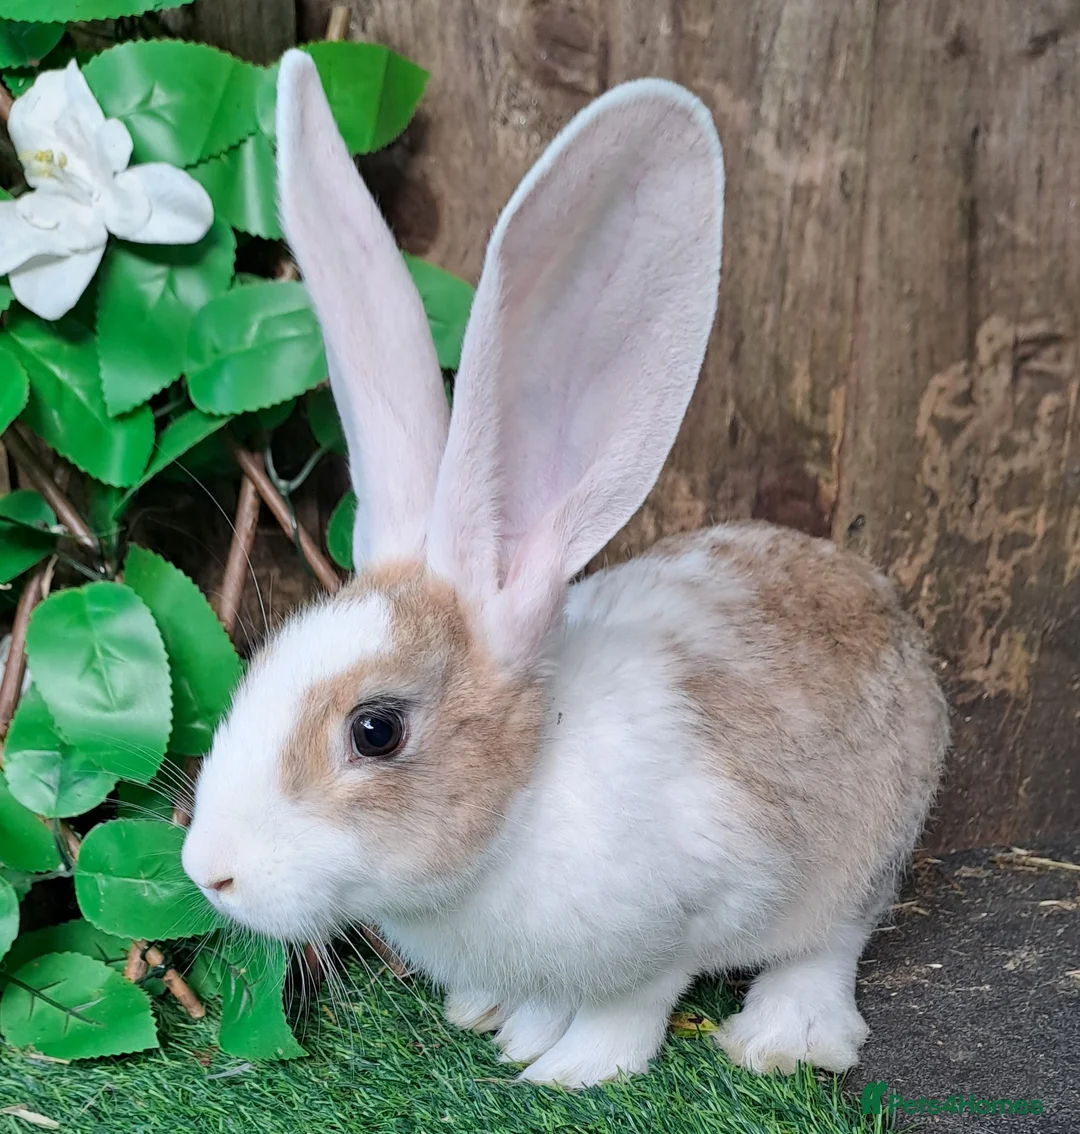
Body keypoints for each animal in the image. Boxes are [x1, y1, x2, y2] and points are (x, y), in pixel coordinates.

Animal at [181, 49, 948, 1088]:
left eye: (376, 731)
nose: (207, 871)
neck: (526, 790)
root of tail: (880, 597)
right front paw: (509, 1026)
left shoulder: (688, 910)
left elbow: (633, 1004)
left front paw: (570, 1070)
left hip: (863, 851)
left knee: (829, 941)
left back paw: (781, 1038)